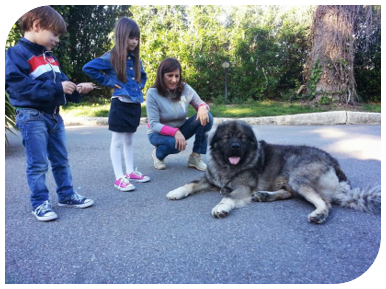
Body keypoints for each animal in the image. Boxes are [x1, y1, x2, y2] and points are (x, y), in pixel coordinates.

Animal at [166, 120, 380, 223]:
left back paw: (319, 214)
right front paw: (176, 191)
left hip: (298, 178)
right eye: (227, 137)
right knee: (288, 193)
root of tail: (335, 165)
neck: (228, 166)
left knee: (325, 203)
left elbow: (228, 196)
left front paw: (221, 208)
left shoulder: (242, 188)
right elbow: (191, 184)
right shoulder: (210, 179)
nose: (235, 146)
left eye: (242, 138)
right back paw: (265, 195)